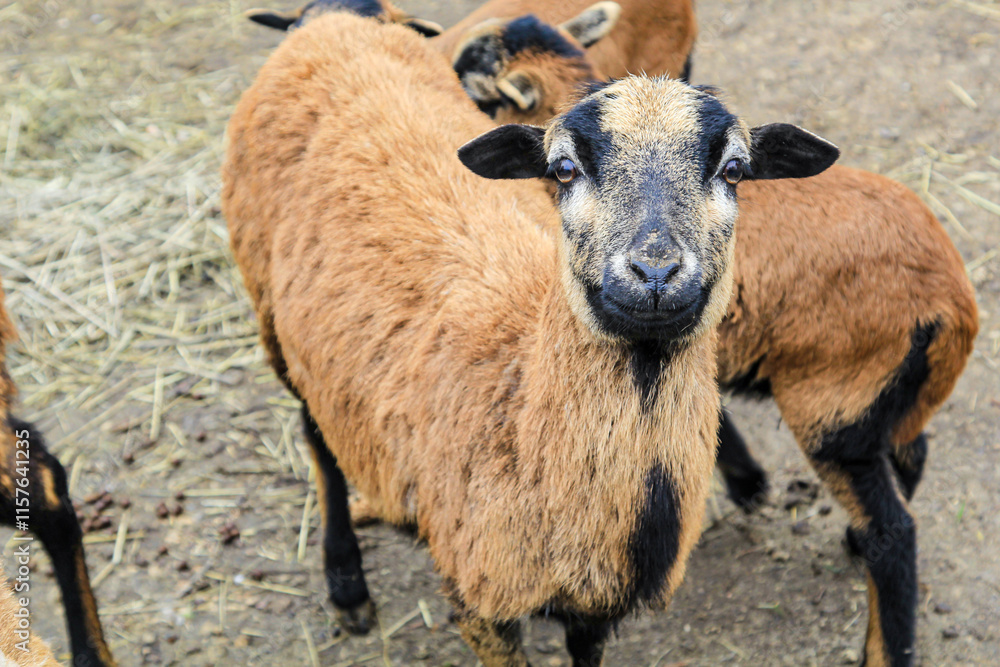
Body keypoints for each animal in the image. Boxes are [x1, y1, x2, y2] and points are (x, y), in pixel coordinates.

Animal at [221, 8, 839, 664]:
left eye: (735, 170)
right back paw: (346, 585)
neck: (520, 397)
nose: (654, 272)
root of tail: (330, 18)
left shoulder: (595, 607)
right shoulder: (479, 600)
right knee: (318, 443)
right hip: (271, 316)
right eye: (563, 169)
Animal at [445, 19, 979, 667]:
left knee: (895, 532)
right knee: (911, 453)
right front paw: (749, 483)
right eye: (565, 167)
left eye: (734, 169)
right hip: (882, 394)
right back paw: (853, 543)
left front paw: (748, 485)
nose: (654, 273)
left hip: (833, 408)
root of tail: (955, 301)